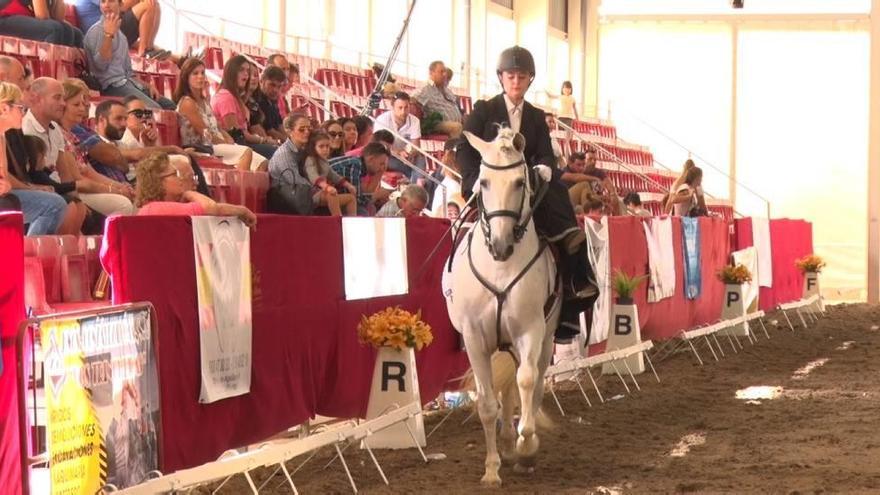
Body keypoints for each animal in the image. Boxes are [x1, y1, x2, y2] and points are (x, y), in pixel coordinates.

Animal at [444, 129, 560, 488]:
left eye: (520, 182)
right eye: (483, 182)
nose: (500, 245)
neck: (500, 268)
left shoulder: (530, 330)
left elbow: (526, 382)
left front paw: (526, 447)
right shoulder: (474, 339)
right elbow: (487, 404)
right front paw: (492, 469)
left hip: (544, 339)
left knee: (532, 385)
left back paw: (518, 446)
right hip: (501, 343)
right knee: (506, 392)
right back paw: (506, 445)